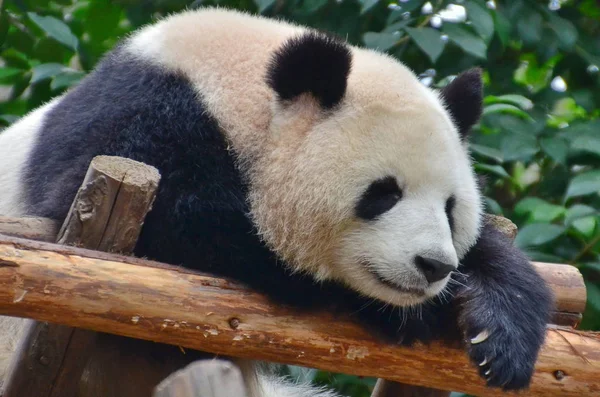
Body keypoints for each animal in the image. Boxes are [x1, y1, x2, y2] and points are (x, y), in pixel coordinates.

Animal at [0, 6, 552, 396]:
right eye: (384, 194)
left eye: (450, 207)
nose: (434, 266)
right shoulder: (135, 123)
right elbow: (183, 223)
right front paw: (412, 314)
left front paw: (500, 330)